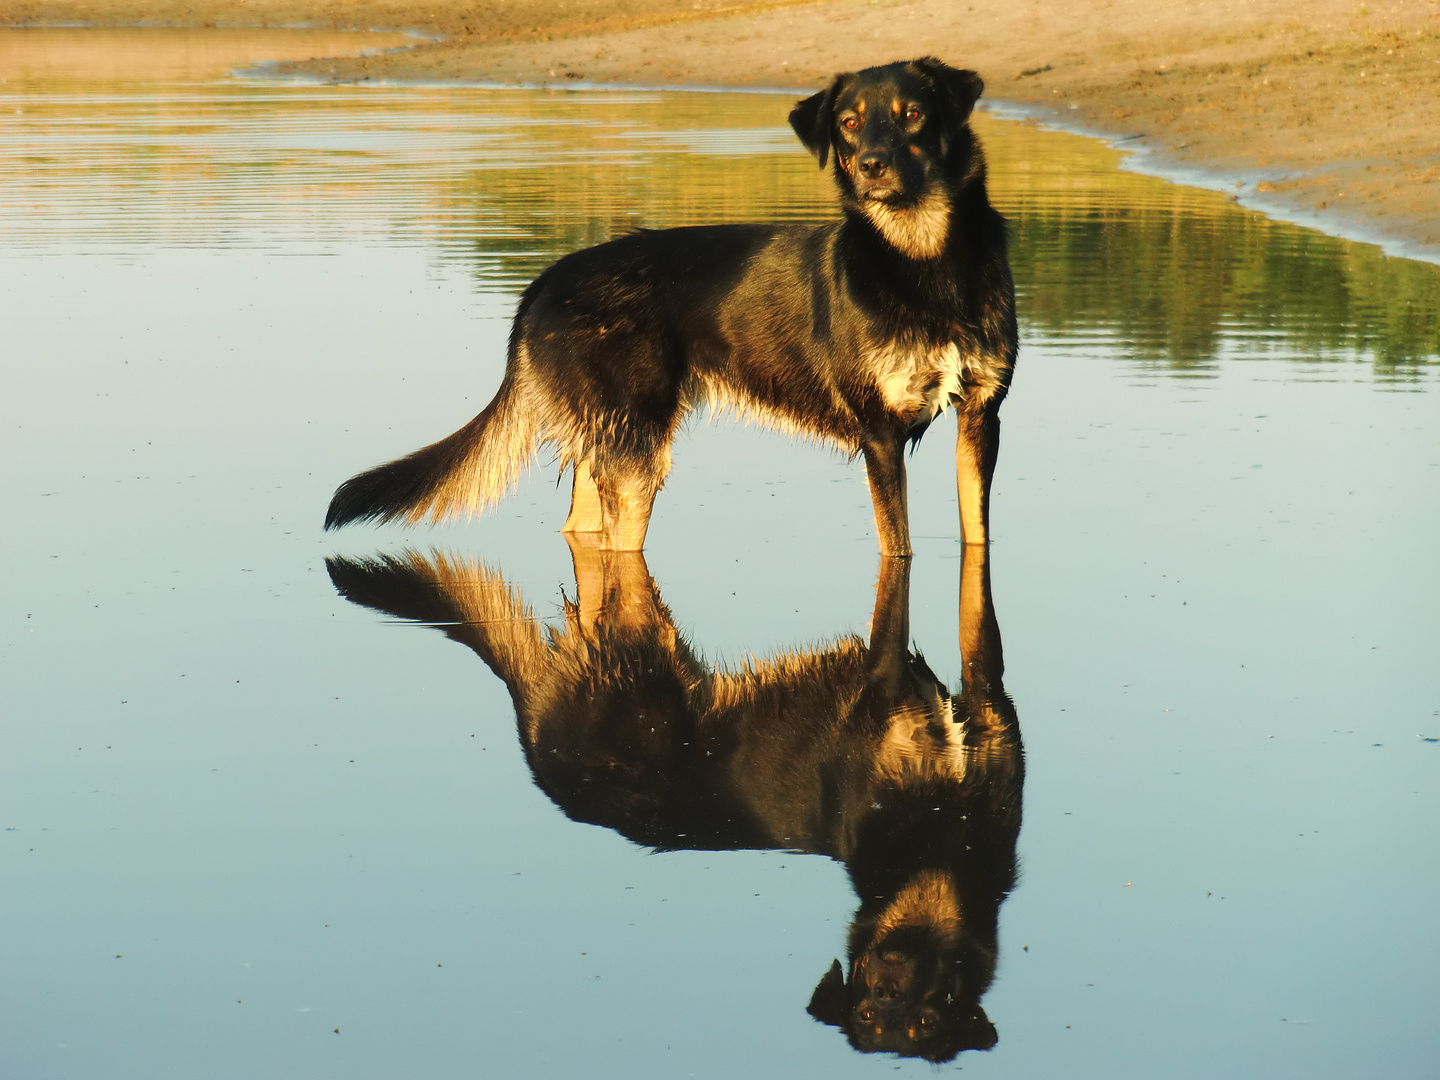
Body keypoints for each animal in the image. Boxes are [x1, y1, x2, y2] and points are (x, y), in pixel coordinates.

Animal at [328, 57, 1019, 558]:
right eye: (849, 122)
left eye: (913, 115)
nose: (872, 166)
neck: (924, 261)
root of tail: (542, 284)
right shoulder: (879, 433)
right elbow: (898, 550)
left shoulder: (981, 415)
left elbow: (979, 536)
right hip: (636, 451)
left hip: (607, 446)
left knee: (581, 528)